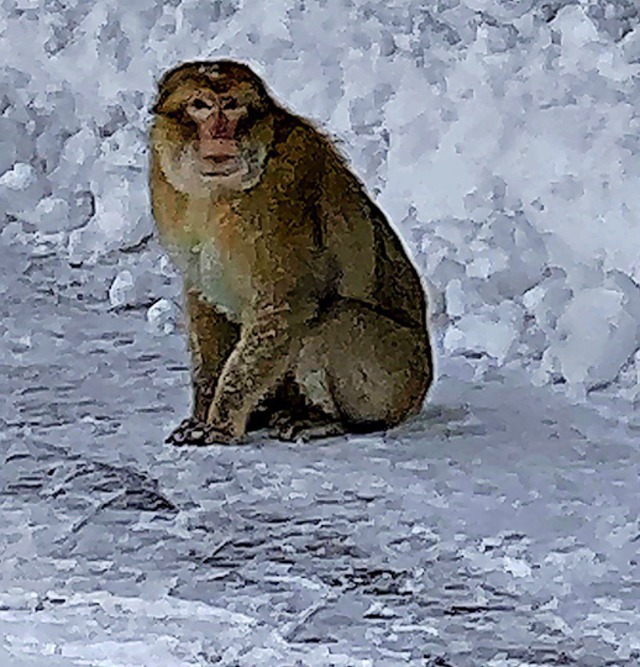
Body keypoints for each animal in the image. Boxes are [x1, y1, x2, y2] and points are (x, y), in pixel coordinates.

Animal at [148, 58, 432, 444]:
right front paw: (202, 411)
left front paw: (221, 423)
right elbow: (205, 305)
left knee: (336, 319)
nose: (220, 132)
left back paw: (325, 419)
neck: (216, 194)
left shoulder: (280, 204)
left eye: (232, 105)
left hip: (397, 378)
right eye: (201, 106)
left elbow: (286, 307)